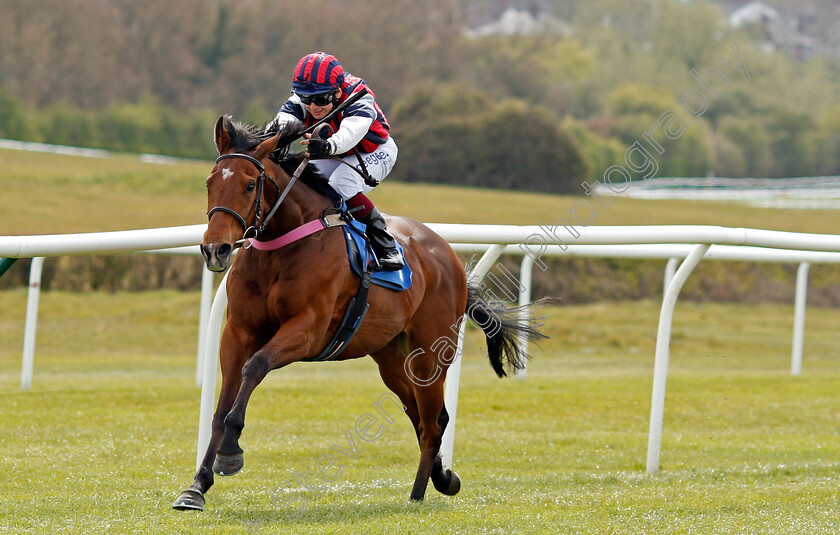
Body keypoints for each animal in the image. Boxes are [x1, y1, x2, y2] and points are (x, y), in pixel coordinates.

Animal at [174, 116, 548, 510]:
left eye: (249, 185)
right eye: (209, 183)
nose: (215, 249)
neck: (281, 245)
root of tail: (448, 255)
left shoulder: (308, 330)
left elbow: (255, 366)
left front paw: (231, 452)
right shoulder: (238, 331)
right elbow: (221, 407)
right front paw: (197, 486)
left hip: (429, 354)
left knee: (433, 423)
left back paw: (418, 494)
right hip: (391, 359)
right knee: (422, 416)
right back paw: (443, 477)